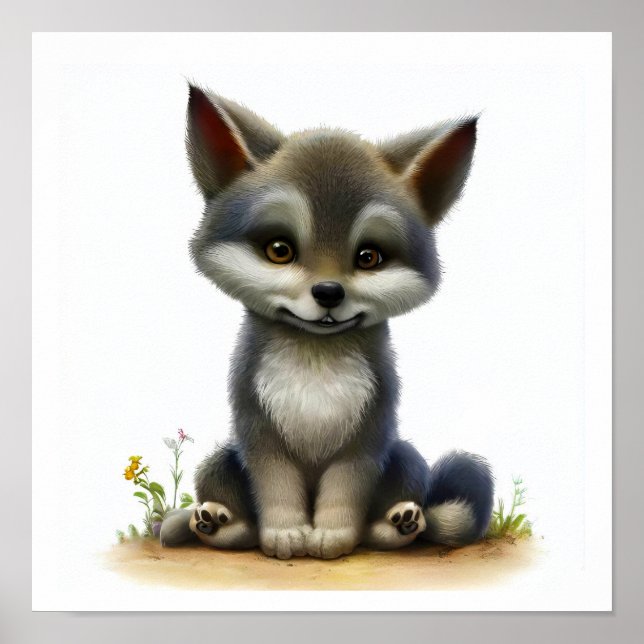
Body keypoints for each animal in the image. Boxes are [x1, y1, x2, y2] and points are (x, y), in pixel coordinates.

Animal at [160, 84, 494, 559]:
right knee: (229, 512)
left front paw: (333, 536)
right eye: (279, 250)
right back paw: (217, 521)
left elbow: (345, 491)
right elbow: (275, 488)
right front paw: (283, 534)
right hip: (222, 458)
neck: (315, 359)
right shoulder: (259, 431)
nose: (329, 292)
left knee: (395, 513)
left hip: (405, 456)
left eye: (369, 257)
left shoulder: (366, 436)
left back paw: (400, 523)